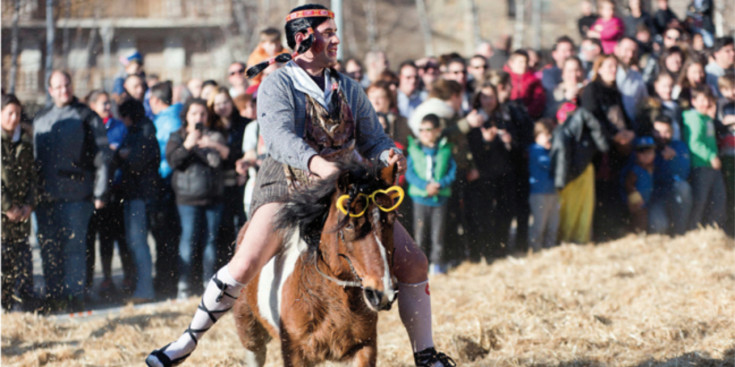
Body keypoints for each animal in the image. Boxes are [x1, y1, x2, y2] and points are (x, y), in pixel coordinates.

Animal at [233, 161, 402, 367]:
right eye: (349, 225)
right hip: (249, 330)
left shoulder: (364, 347)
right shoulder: (295, 353)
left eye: (391, 220)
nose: (382, 293)